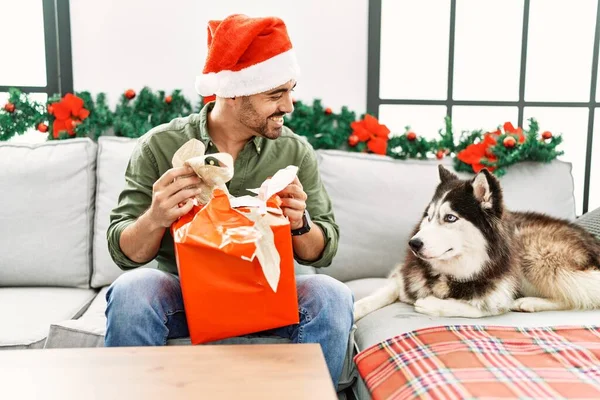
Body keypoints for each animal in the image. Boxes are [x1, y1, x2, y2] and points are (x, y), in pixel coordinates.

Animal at [354, 166, 600, 322]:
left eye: (450, 218)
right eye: (429, 216)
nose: (413, 244)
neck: (451, 272)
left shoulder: (499, 293)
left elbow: (482, 308)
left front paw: (432, 303)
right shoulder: (403, 277)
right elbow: (380, 294)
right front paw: (354, 309)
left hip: (534, 254)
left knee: (579, 296)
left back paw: (530, 302)